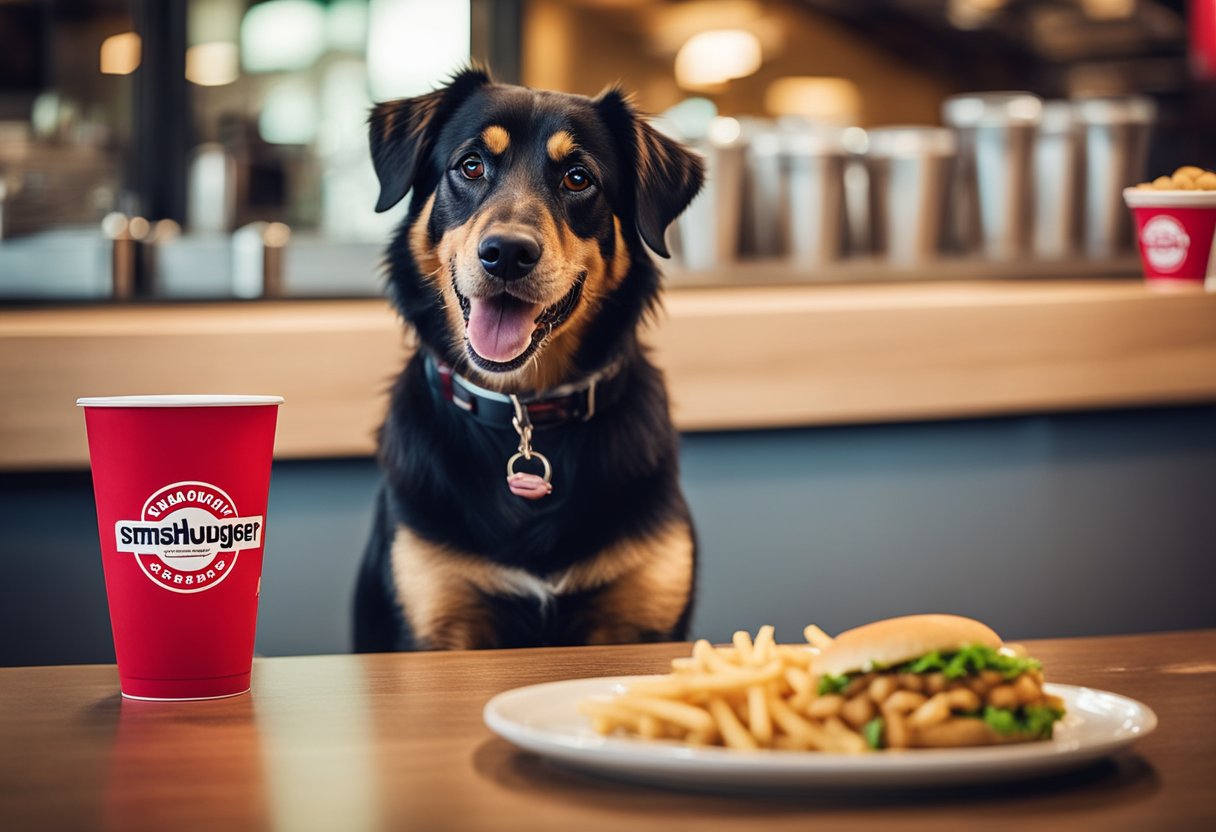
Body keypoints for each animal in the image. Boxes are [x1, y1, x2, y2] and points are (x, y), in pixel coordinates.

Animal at [352, 68, 705, 651]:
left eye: (579, 179)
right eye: (471, 165)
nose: (507, 254)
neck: (525, 410)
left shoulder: (642, 623)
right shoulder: (435, 623)